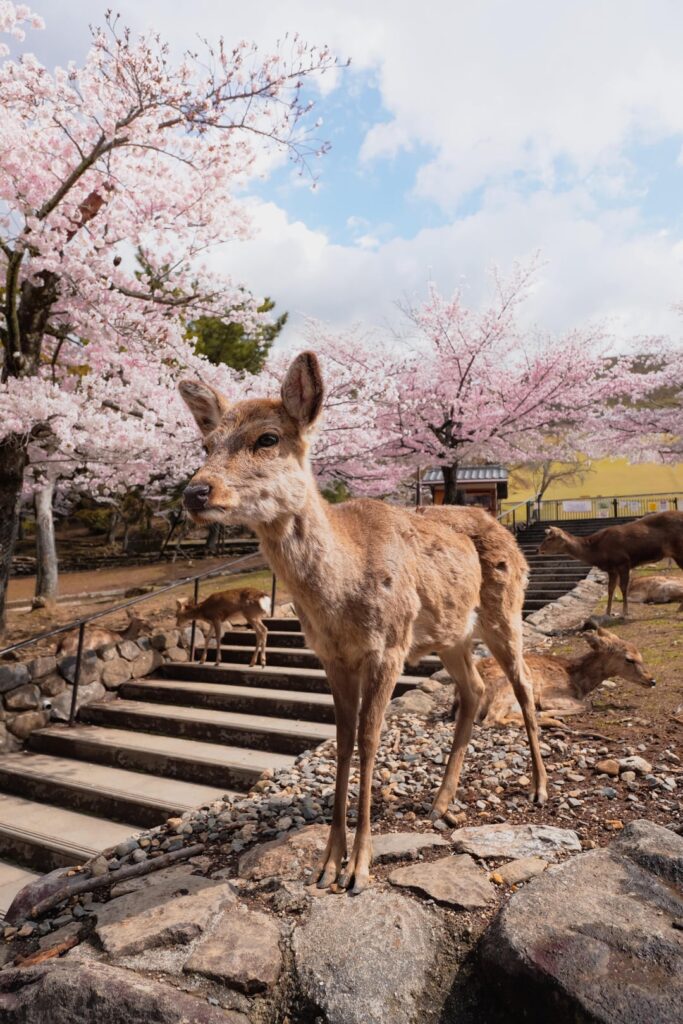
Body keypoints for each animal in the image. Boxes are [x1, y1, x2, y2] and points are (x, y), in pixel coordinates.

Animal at [178, 351, 548, 894]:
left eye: (267, 438)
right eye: (206, 444)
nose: (197, 492)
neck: (341, 595)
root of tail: (509, 535)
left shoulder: (388, 646)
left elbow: (371, 740)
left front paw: (359, 866)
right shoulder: (331, 655)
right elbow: (344, 741)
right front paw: (328, 863)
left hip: (505, 610)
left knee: (522, 683)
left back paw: (540, 787)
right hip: (450, 635)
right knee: (475, 688)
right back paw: (441, 801)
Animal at [453, 626, 656, 727]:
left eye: (641, 655)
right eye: (629, 659)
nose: (652, 680)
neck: (578, 680)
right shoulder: (550, 695)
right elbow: (587, 705)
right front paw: (546, 712)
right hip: (508, 688)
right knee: (490, 720)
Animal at [538, 512, 683, 617]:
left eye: (549, 538)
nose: (538, 549)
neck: (599, 553)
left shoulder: (623, 562)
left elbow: (623, 588)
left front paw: (625, 613)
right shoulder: (612, 569)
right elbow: (610, 589)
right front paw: (607, 612)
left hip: (679, 551)